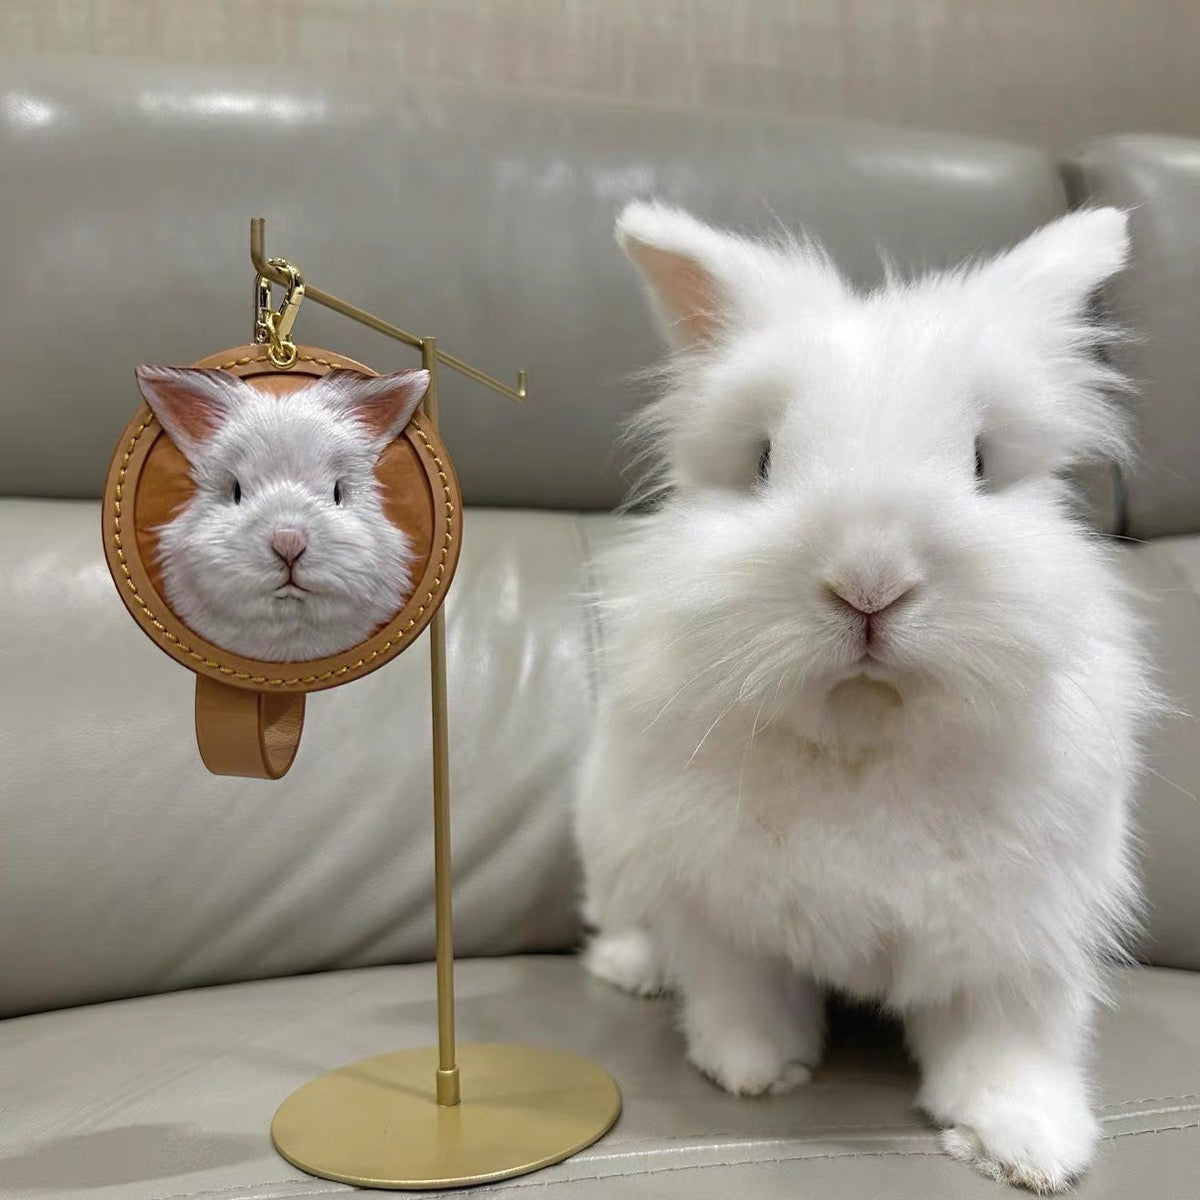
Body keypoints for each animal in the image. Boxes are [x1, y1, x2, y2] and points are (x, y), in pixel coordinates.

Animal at [575, 201, 1157, 1193]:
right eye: (765, 459)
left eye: (980, 460)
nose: (869, 583)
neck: (864, 733)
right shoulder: (722, 906)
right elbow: (741, 992)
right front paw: (752, 1070)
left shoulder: (1016, 933)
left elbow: (1010, 1042)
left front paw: (1034, 1144)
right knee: (625, 920)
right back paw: (632, 970)